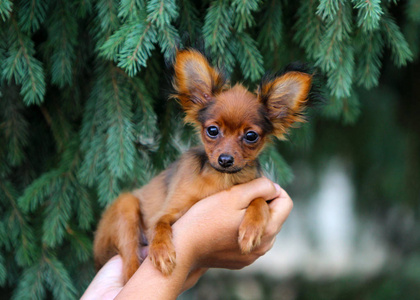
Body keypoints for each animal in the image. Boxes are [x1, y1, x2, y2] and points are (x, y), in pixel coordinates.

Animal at [92, 48, 316, 282]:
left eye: (251, 136)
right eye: (212, 131)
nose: (225, 160)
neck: (222, 178)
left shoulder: (259, 191)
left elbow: (260, 202)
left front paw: (251, 230)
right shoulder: (166, 212)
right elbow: (160, 225)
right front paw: (162, 252)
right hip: (126, 208)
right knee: (129, 262)